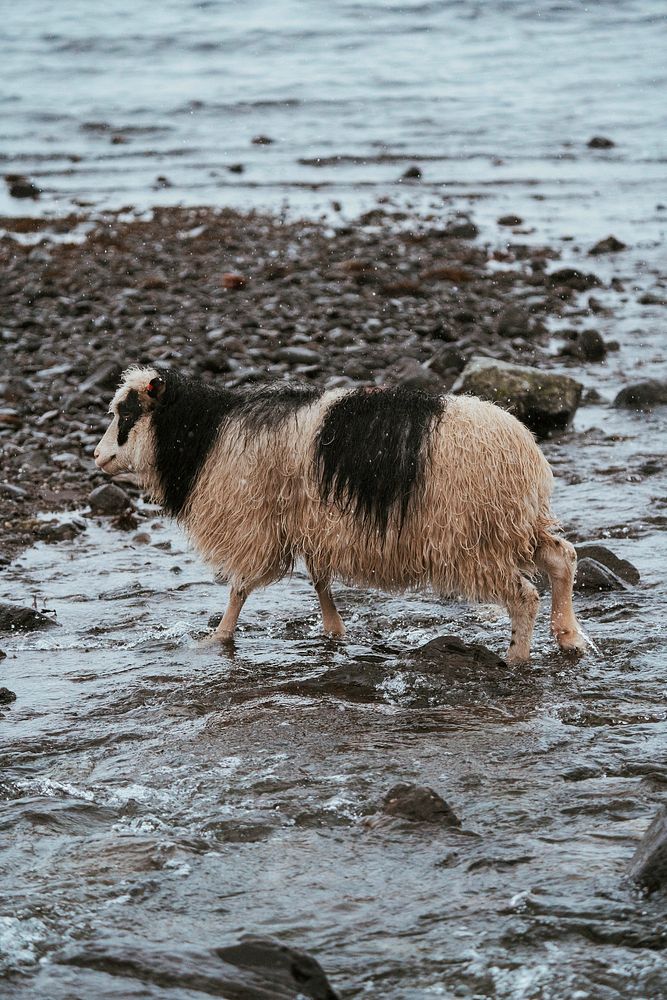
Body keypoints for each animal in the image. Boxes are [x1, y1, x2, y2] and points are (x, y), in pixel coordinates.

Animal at [91, 364, 588, 660]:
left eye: (125, 413)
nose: (97, 457)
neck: (206, 436)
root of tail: (524, 450)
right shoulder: (310, 524)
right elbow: (319, 581)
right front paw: (334, 632)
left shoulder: (256, 524)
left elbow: (239, 588)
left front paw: (217, 638)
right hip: (511, 525)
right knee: (562, 558)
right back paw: (568, 637)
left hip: (474, 538)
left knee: (524, 595)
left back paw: (516, 658)